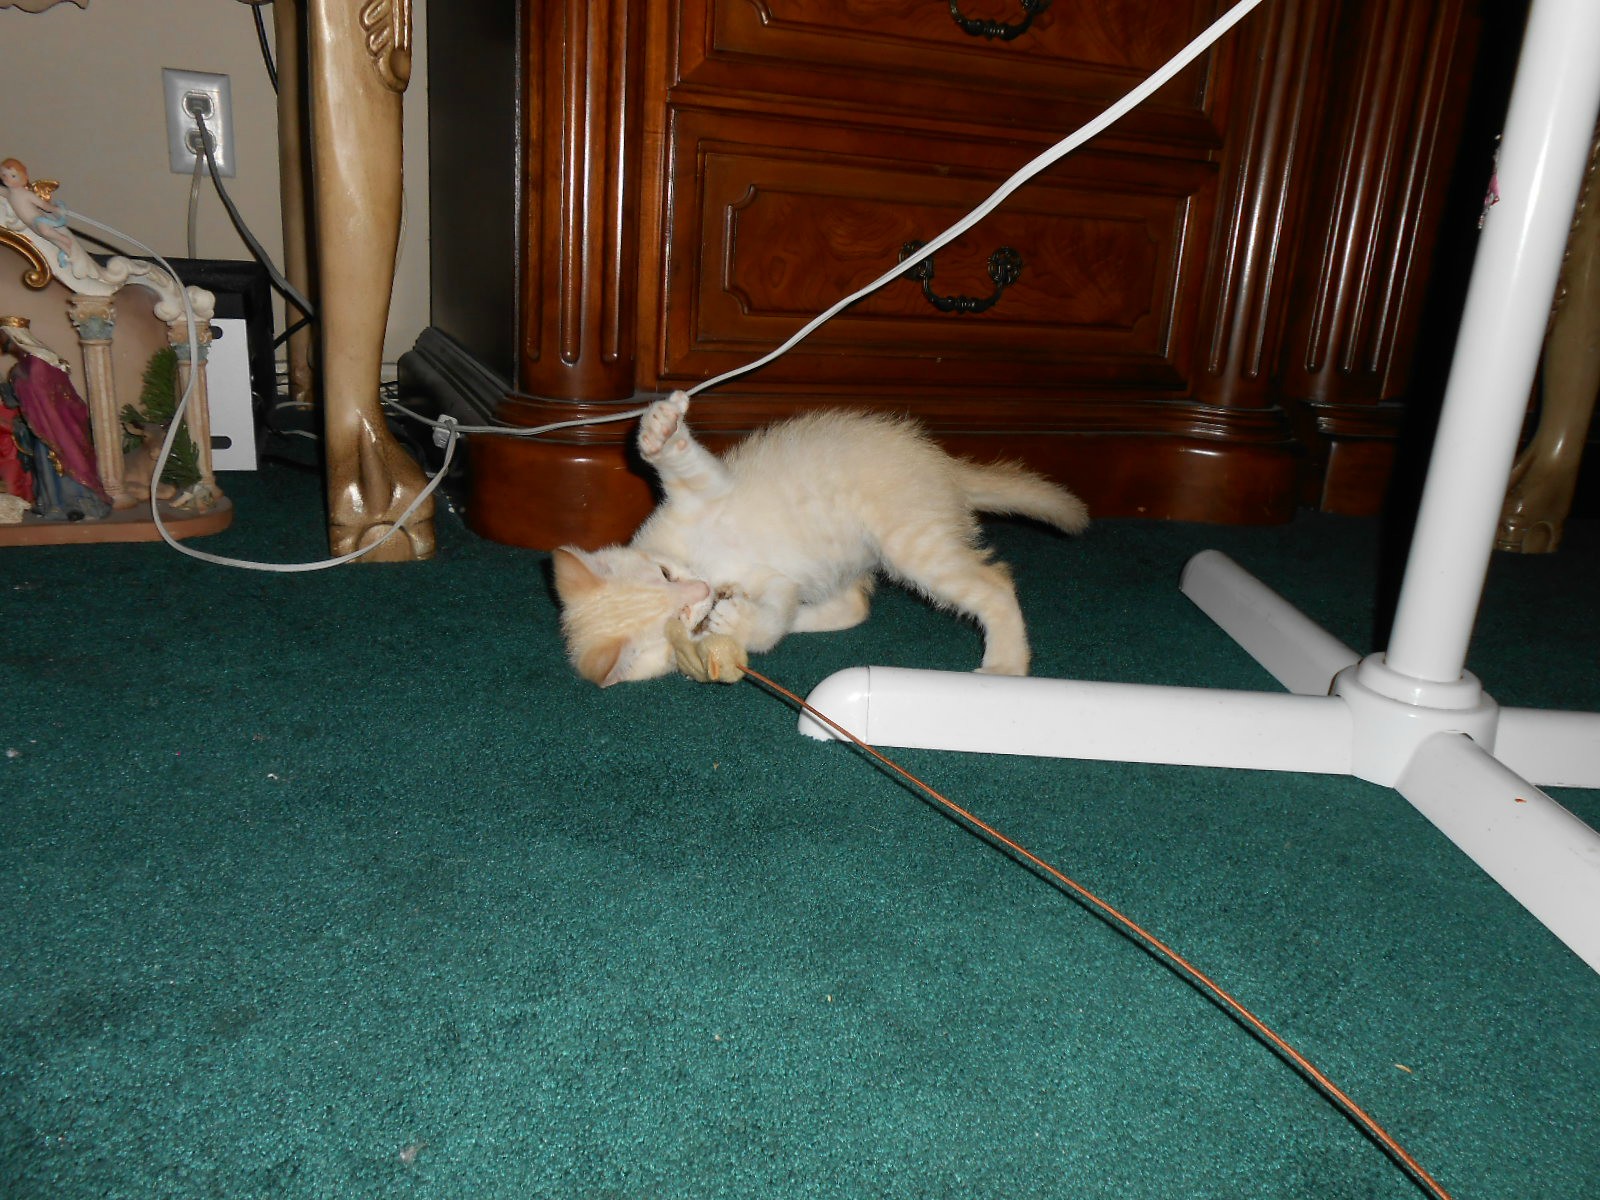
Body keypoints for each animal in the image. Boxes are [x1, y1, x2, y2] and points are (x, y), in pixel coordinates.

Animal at [551, 390, 1089, 686]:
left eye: (664, 573)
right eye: (677, 618)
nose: (702, 591)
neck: (705, 564)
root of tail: (943, 467)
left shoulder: (704, 490)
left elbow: (680, 461)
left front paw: (659, 430)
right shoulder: (774, 582)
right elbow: (770, 625)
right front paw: (739, 621)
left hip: (908, 538)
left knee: (994, 583)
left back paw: (1005, 664)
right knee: (855, 605)